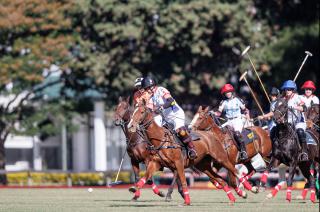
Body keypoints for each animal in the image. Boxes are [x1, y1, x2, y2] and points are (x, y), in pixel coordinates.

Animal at [127, 100, 255, 205]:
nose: (130, 125)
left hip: (221, 158)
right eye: (133, 112)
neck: (160, 139)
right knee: (221, 180)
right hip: (204, 166)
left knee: (234, 171)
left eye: (142, 111)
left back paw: (251, 189)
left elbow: (183, 181)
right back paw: (232, 199)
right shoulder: (155, 163)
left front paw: (187, 201)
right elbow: (146, 176)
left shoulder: (178, 163)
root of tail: (211, 134)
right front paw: (134, 189)